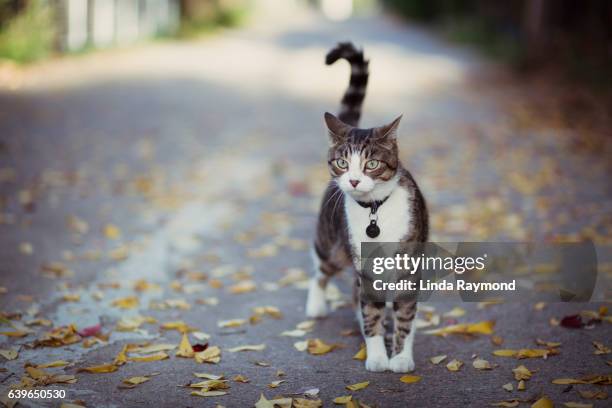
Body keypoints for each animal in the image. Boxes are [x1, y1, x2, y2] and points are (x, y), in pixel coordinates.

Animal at [306, 42, 430, 372]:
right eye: (342, 162)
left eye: (372, 164)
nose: (353, 180)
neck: (375, 211)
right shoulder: (364, 266)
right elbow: (371, 312)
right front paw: (376, 356)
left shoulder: (407, 269)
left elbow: (405, 317)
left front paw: (400, 358)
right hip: (334, 245)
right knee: (321, 269)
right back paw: (316, 305)